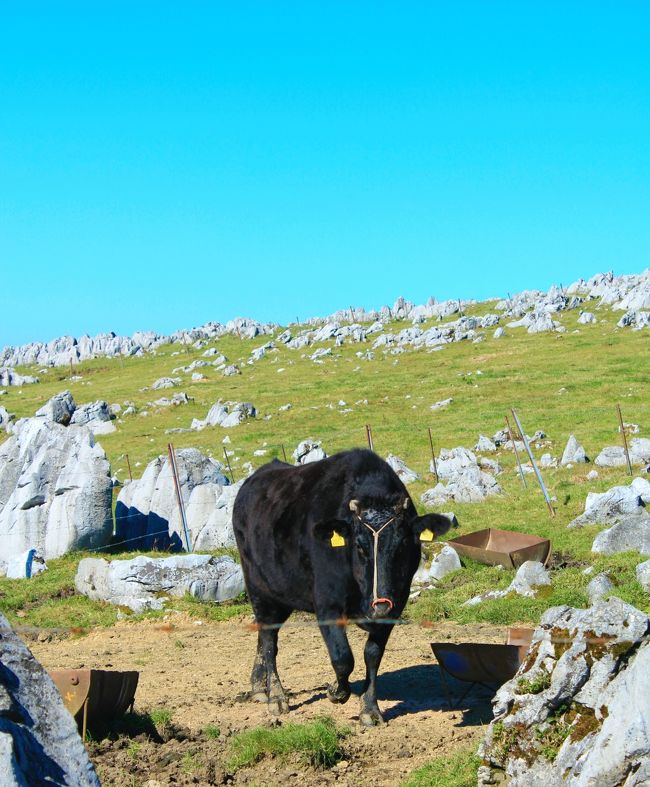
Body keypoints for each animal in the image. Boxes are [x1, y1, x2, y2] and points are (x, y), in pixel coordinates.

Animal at [232, 450, 450, 728]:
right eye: (359, 546)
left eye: (402, 545)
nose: (379, 605)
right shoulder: (327, 604)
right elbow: (343, 658)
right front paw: (336, 691)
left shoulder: (395, 606)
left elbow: (372, 655)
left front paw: (370, 710)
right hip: (260, 590)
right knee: (270, 642)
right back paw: (277, 698)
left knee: (263, 636)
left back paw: (260, 687)